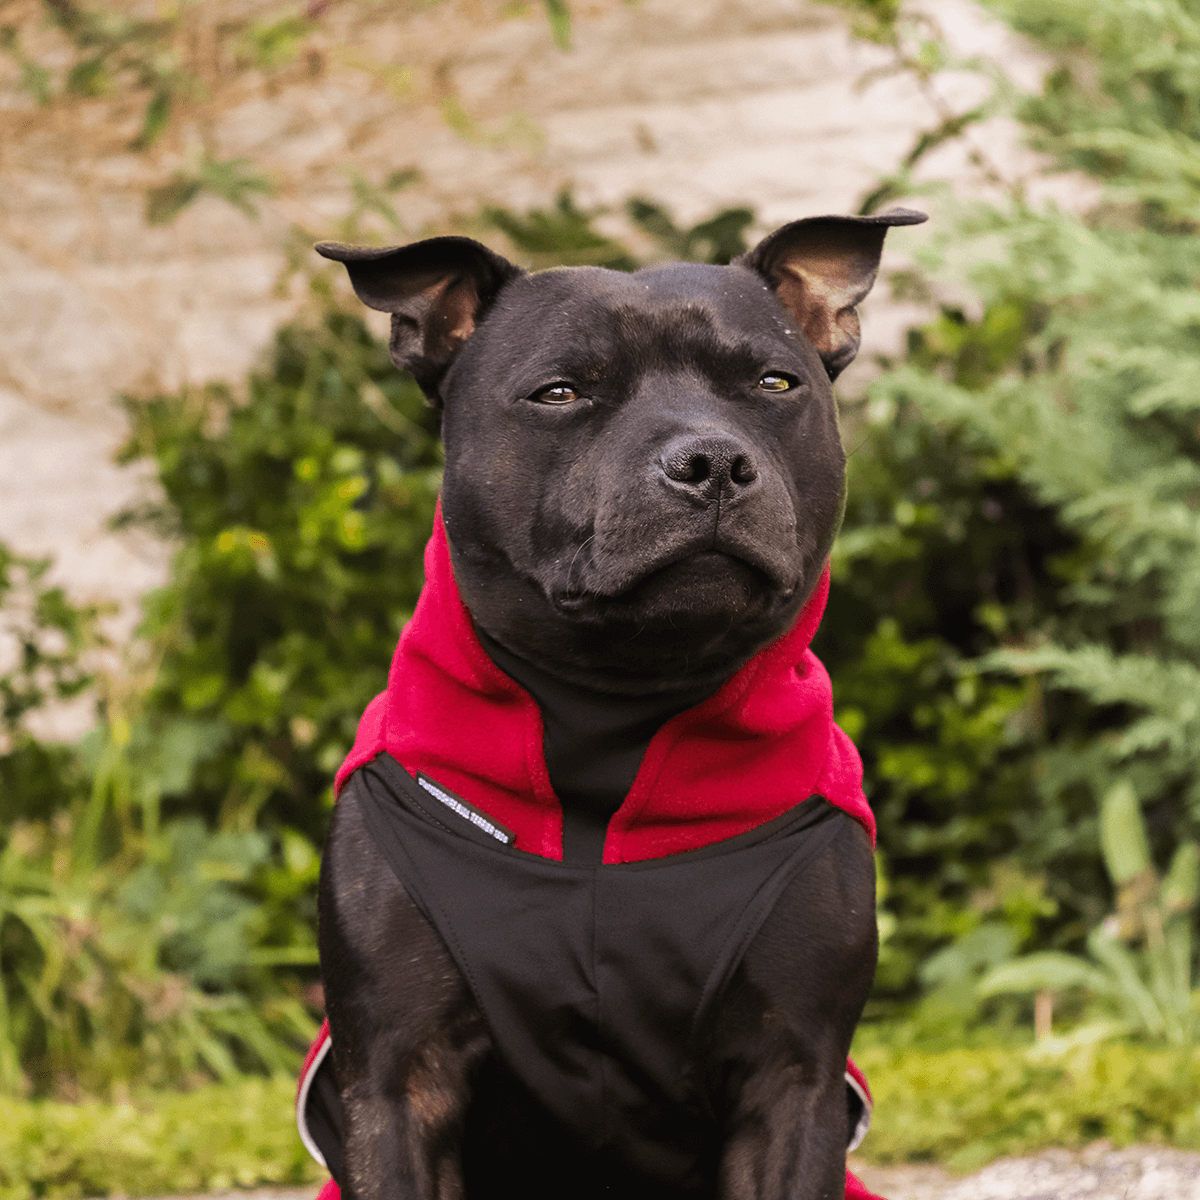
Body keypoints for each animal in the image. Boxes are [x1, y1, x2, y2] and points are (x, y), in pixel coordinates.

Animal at [304, 208, 921, 1200]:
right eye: (560, 392)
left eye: (774, 383)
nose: (712, 460)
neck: (610, 722)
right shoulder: (398, 1075)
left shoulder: (795, 1074)